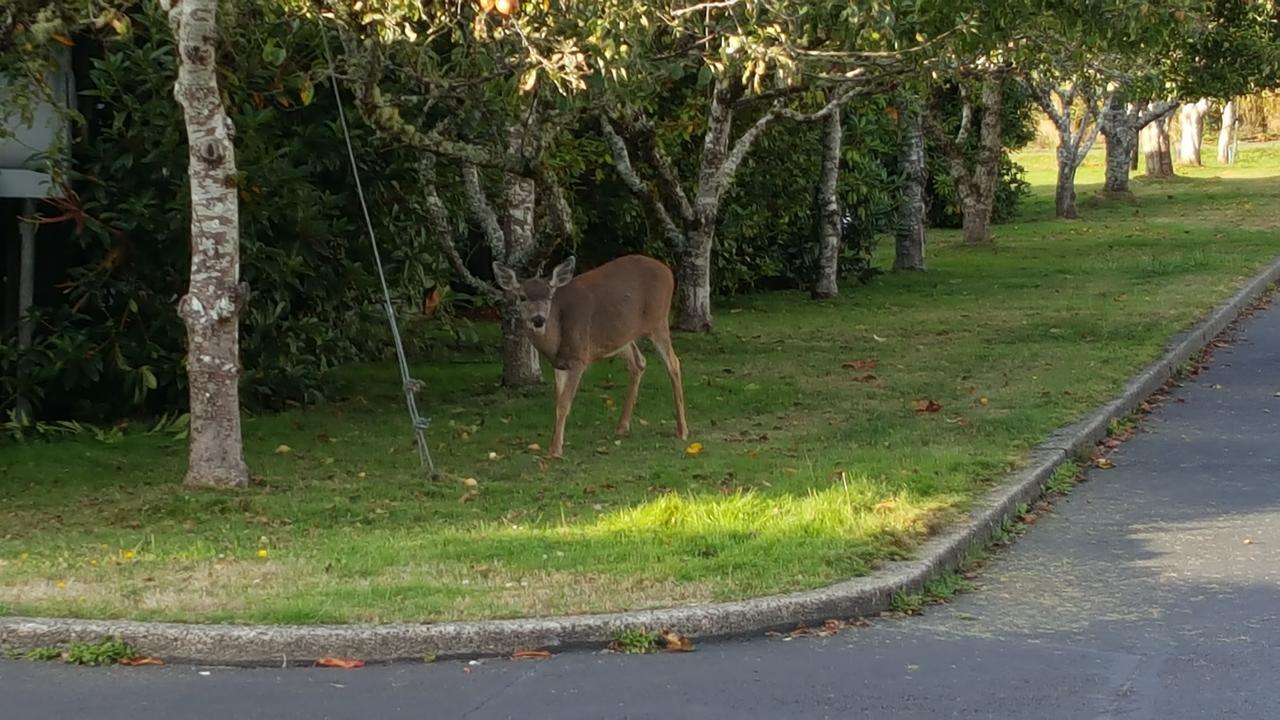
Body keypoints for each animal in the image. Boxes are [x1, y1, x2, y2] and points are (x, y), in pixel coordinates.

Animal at [488, 252, 691, 453]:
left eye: (550, 296)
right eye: (522, 297)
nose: (538, 319)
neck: (557, 339)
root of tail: (668, 272)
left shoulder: (579, 357)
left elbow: (564, 404)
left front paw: (555, 450)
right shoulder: (559, 363)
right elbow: (558, 402)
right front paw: (556, 443)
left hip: (658, 320)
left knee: (673, 363)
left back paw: (682, 430)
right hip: (620, 335)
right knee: (639, 361)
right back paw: (622, 426)